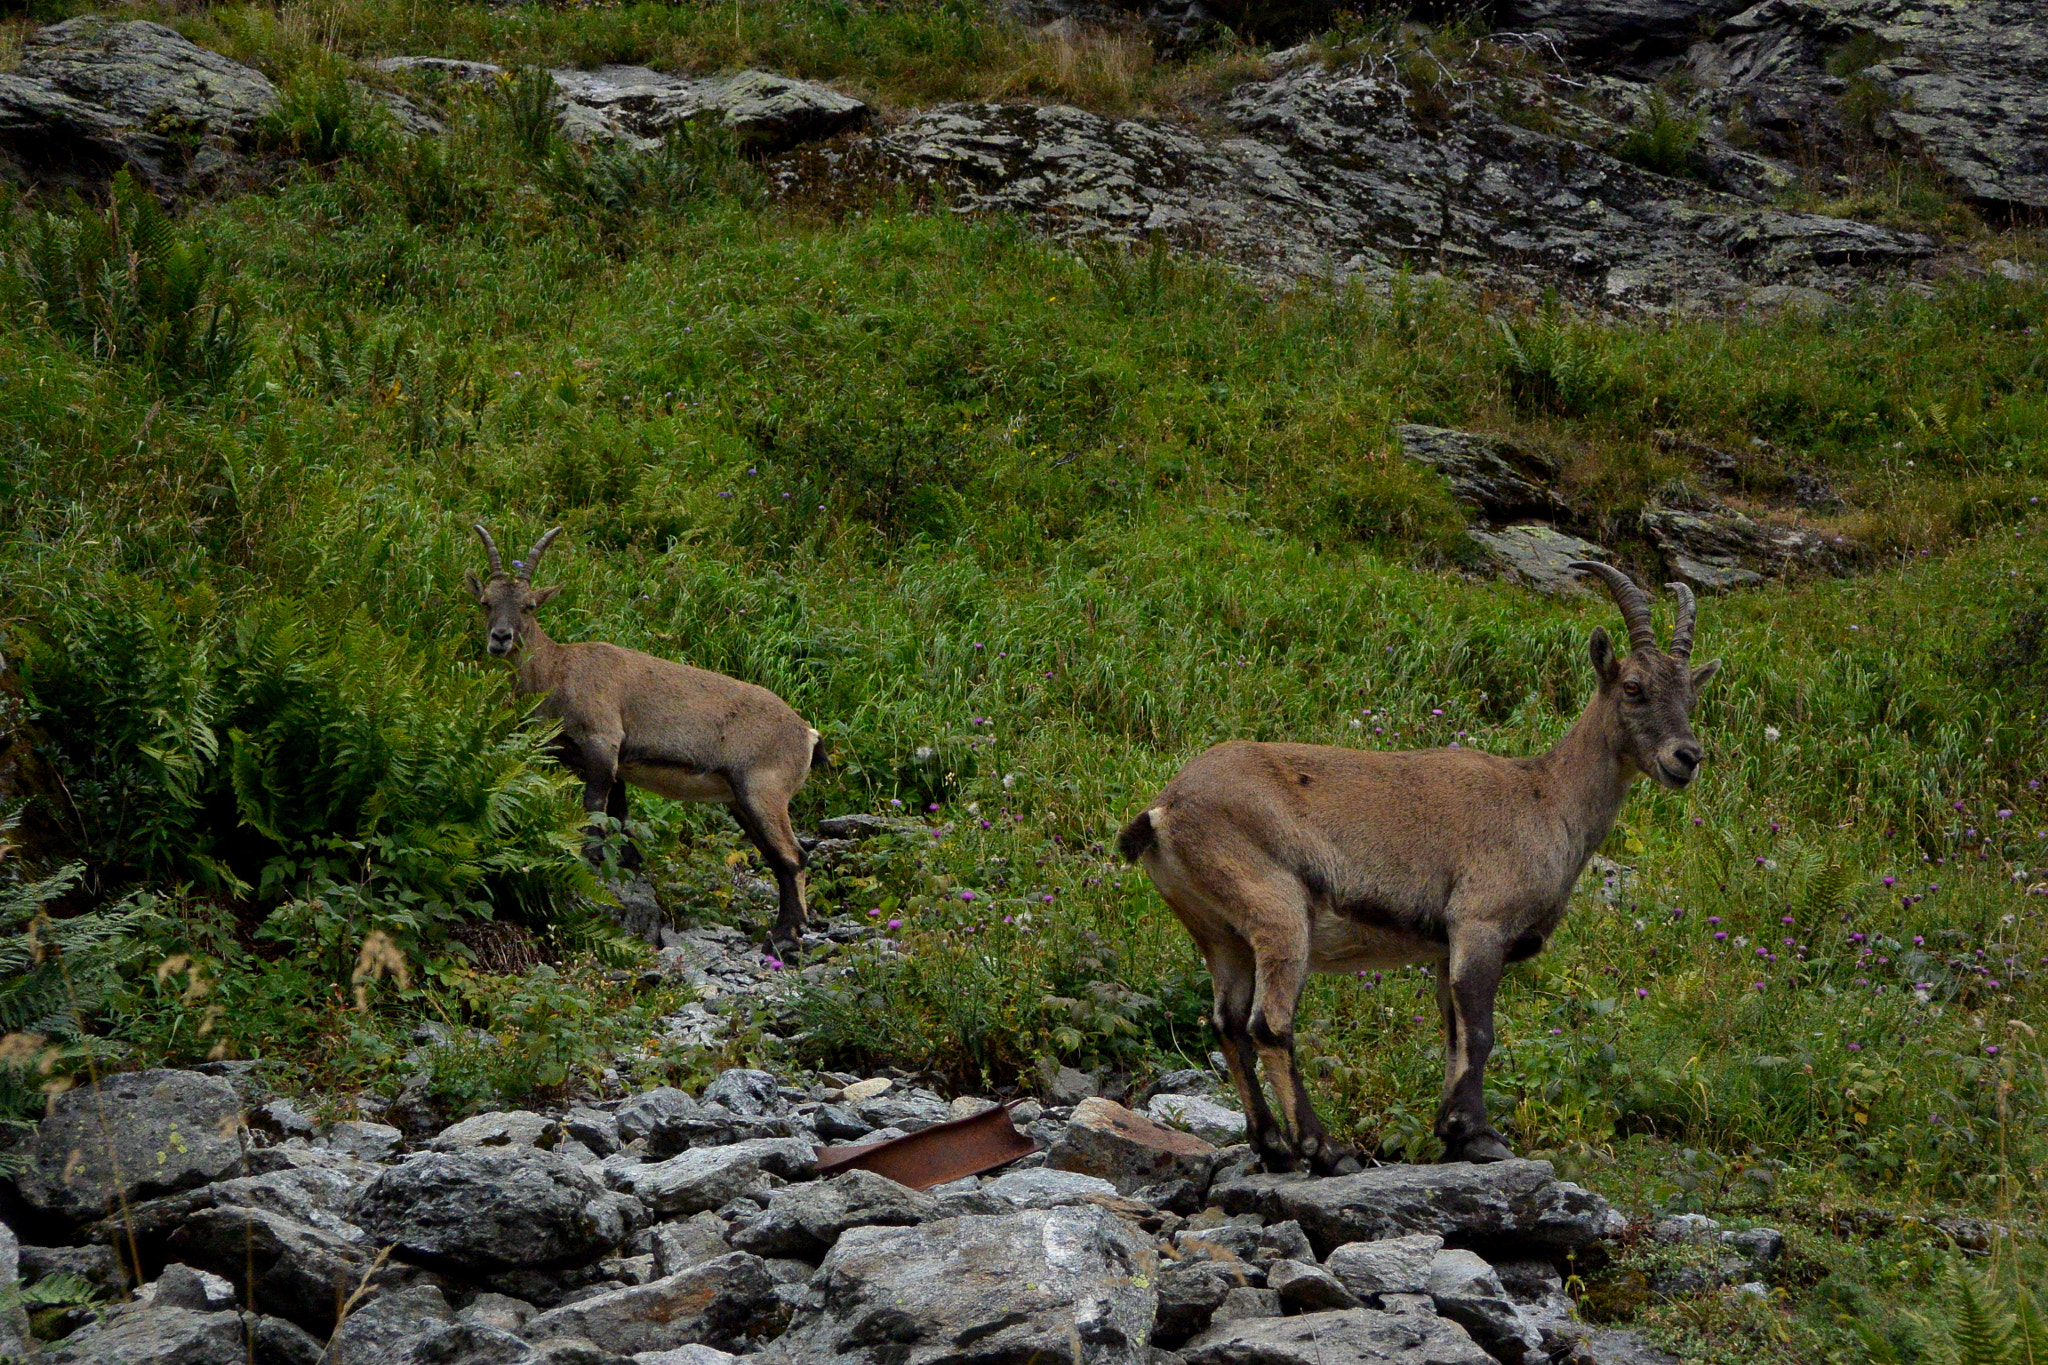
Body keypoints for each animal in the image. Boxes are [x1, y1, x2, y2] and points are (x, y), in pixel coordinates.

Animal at [465, 524, 827, 952]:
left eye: (529, 606)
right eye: (486, 602)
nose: (500, 638)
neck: (556, 670)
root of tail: (807, 734)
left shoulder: (602, 740)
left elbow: (595, 806)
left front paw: (591, 857)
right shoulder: (610, 762)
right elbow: (619, 814)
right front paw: (627, 860)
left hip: (763, 790)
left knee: (793, 857)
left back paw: (786, 935)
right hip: (742, 800)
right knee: (778, 858)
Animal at [1118, 563, 1718, 1170]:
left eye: (1692, 694)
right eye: (1633, 687)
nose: (1687, 757)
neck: (1546, 798)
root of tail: (1164, 810)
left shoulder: (1444, 947)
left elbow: (1453, 1033)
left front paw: (1453, 1131)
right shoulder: (1480, 925)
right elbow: (1480, 1033)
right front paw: (1478, 1135)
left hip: (1219, 934)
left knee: (1228, 1025)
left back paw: (1272, 1146)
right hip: (1277, 910)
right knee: (1268, 1023)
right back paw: (1323, 1147)